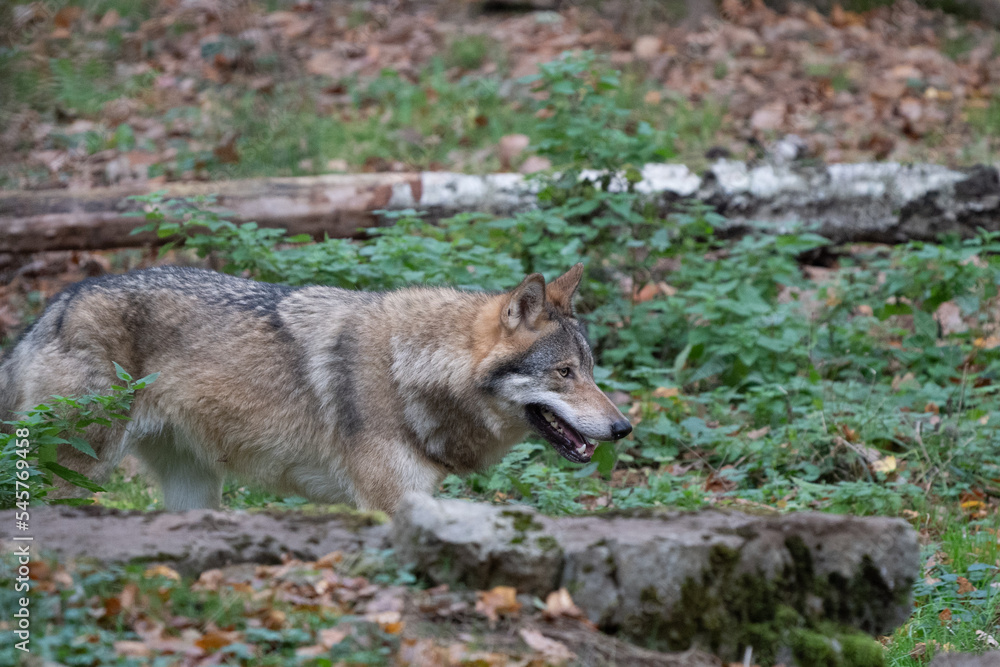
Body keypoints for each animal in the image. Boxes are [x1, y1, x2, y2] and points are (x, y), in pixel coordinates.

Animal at [0, 264, 631, 514]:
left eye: (590, 370)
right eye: (564, 373)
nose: (624, 428)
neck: (409, 370)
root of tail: (52, 308)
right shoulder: (386, 503)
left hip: (193, 491)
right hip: (76, 476)